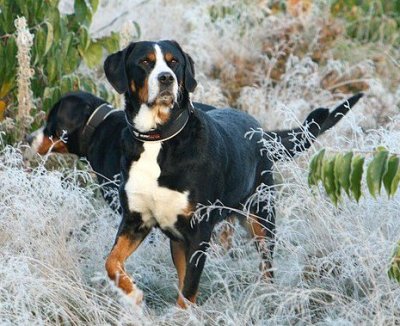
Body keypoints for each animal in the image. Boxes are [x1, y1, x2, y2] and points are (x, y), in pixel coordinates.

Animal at [102, 39, 362, 306]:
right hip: (180, 239)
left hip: (261, 218)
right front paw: (132, 292)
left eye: (174, 62)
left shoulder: (199, 230)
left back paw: (266, 295)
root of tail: (261, 132)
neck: (159, 138)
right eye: (145, 61)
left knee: (267, 267)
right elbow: (112, 262)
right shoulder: (135, 220)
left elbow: (189, 289)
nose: (166, 78)